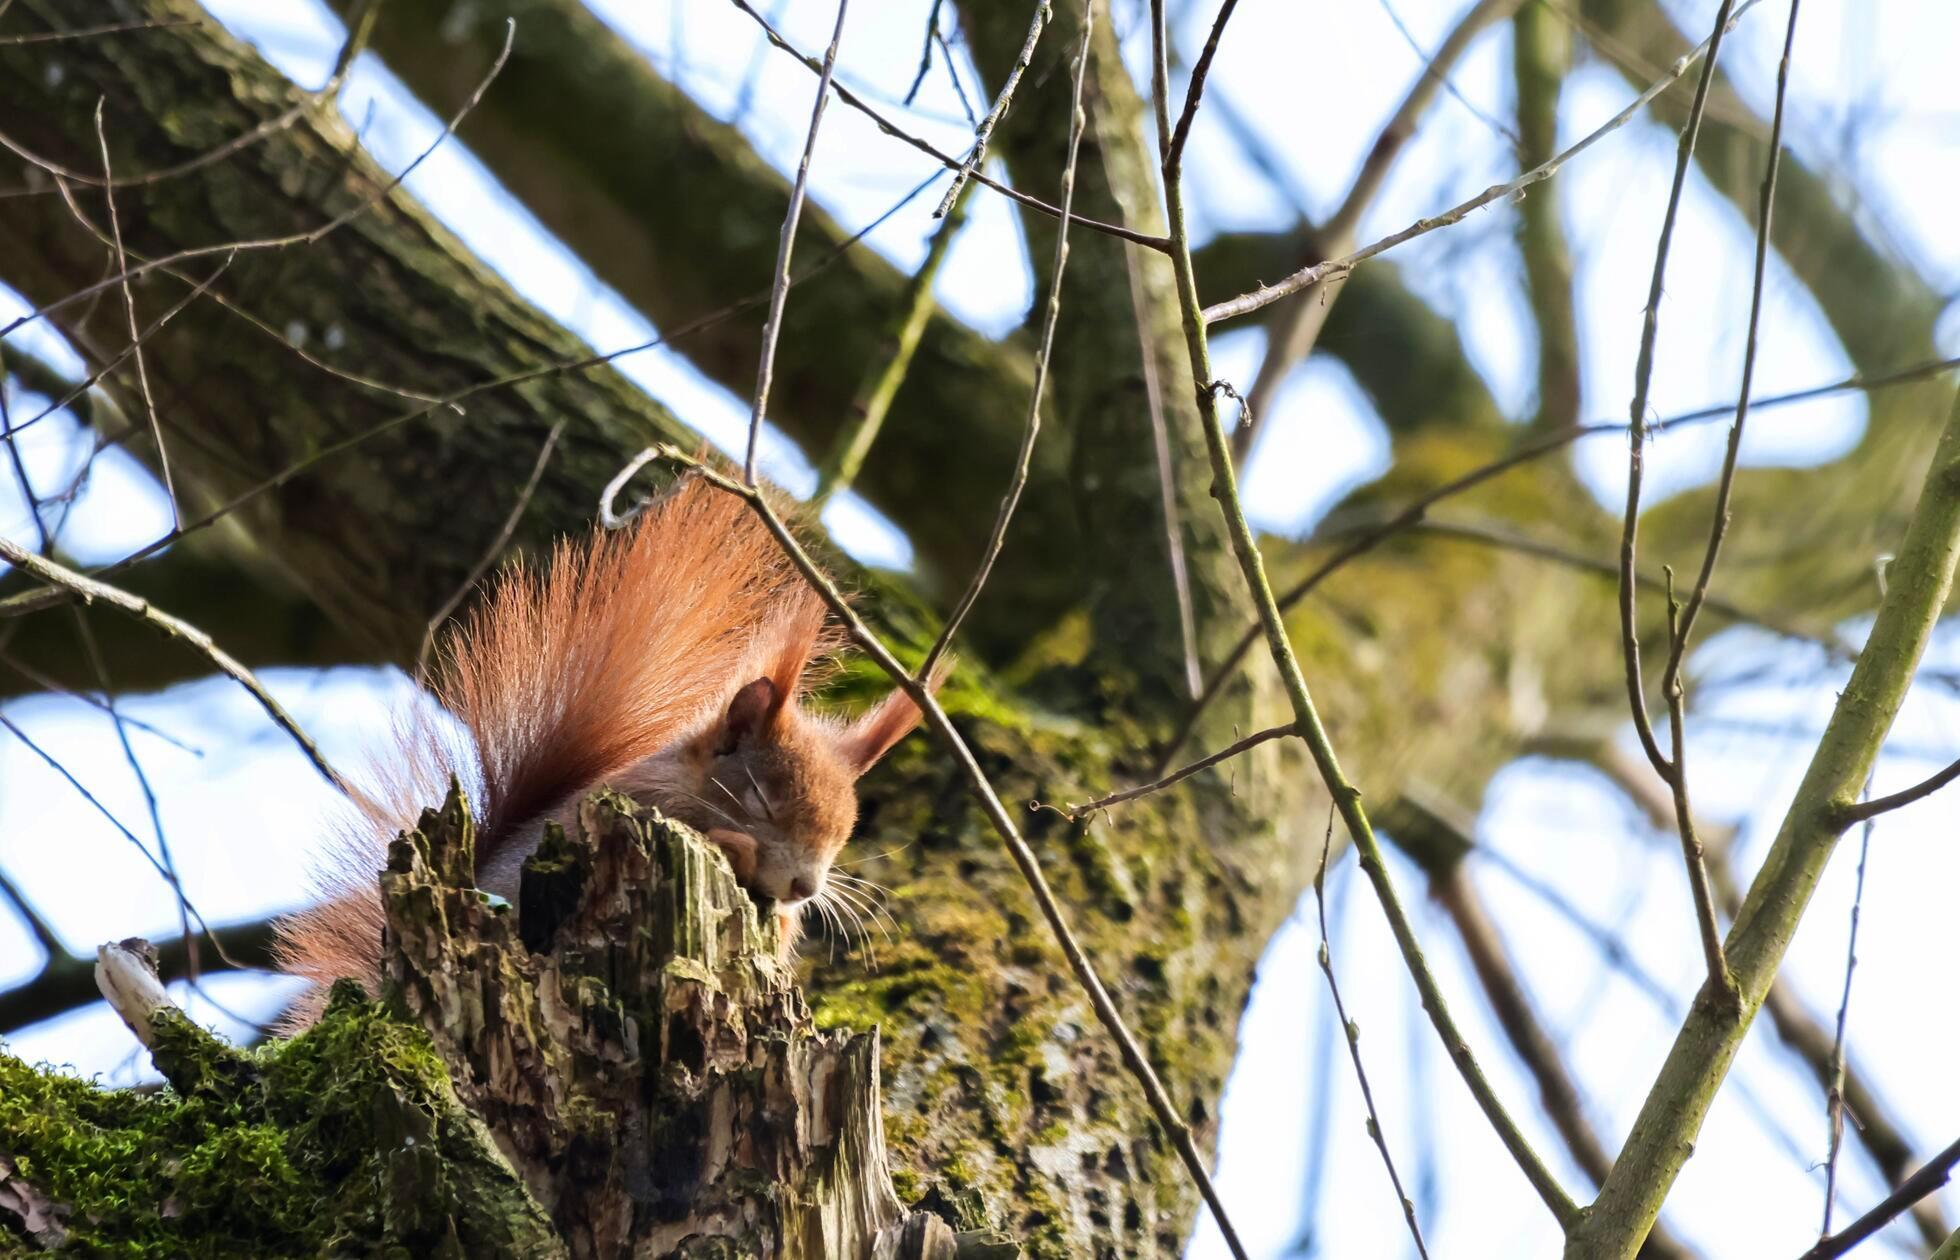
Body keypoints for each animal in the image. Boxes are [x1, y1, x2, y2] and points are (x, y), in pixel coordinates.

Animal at [271, 474, 932, 1027]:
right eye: (763, 801)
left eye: (845, 834)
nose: (805, 887)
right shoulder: (643, 802)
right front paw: (741, 848)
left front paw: (787, 909)